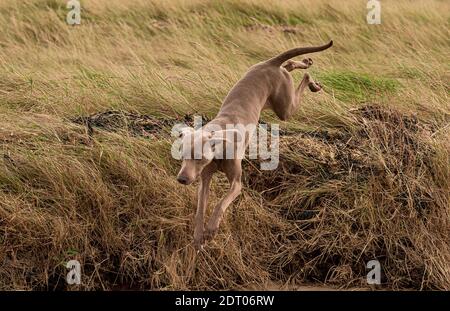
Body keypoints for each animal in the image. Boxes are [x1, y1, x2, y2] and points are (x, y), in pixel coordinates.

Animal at [176, 40, 334, 251]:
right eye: (182, 155)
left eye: (198, 157)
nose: (181, 179)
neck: (219, 147)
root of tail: (269, 63)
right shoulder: (204, 179)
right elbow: (201, 207)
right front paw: (198, 235)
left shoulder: (236, 184)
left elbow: (221, 203)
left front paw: (212, 228)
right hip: (277, 95)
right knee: (288, 66)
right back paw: (304, 63)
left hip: (285, 108)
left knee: (301, 78)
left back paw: (311, 80)